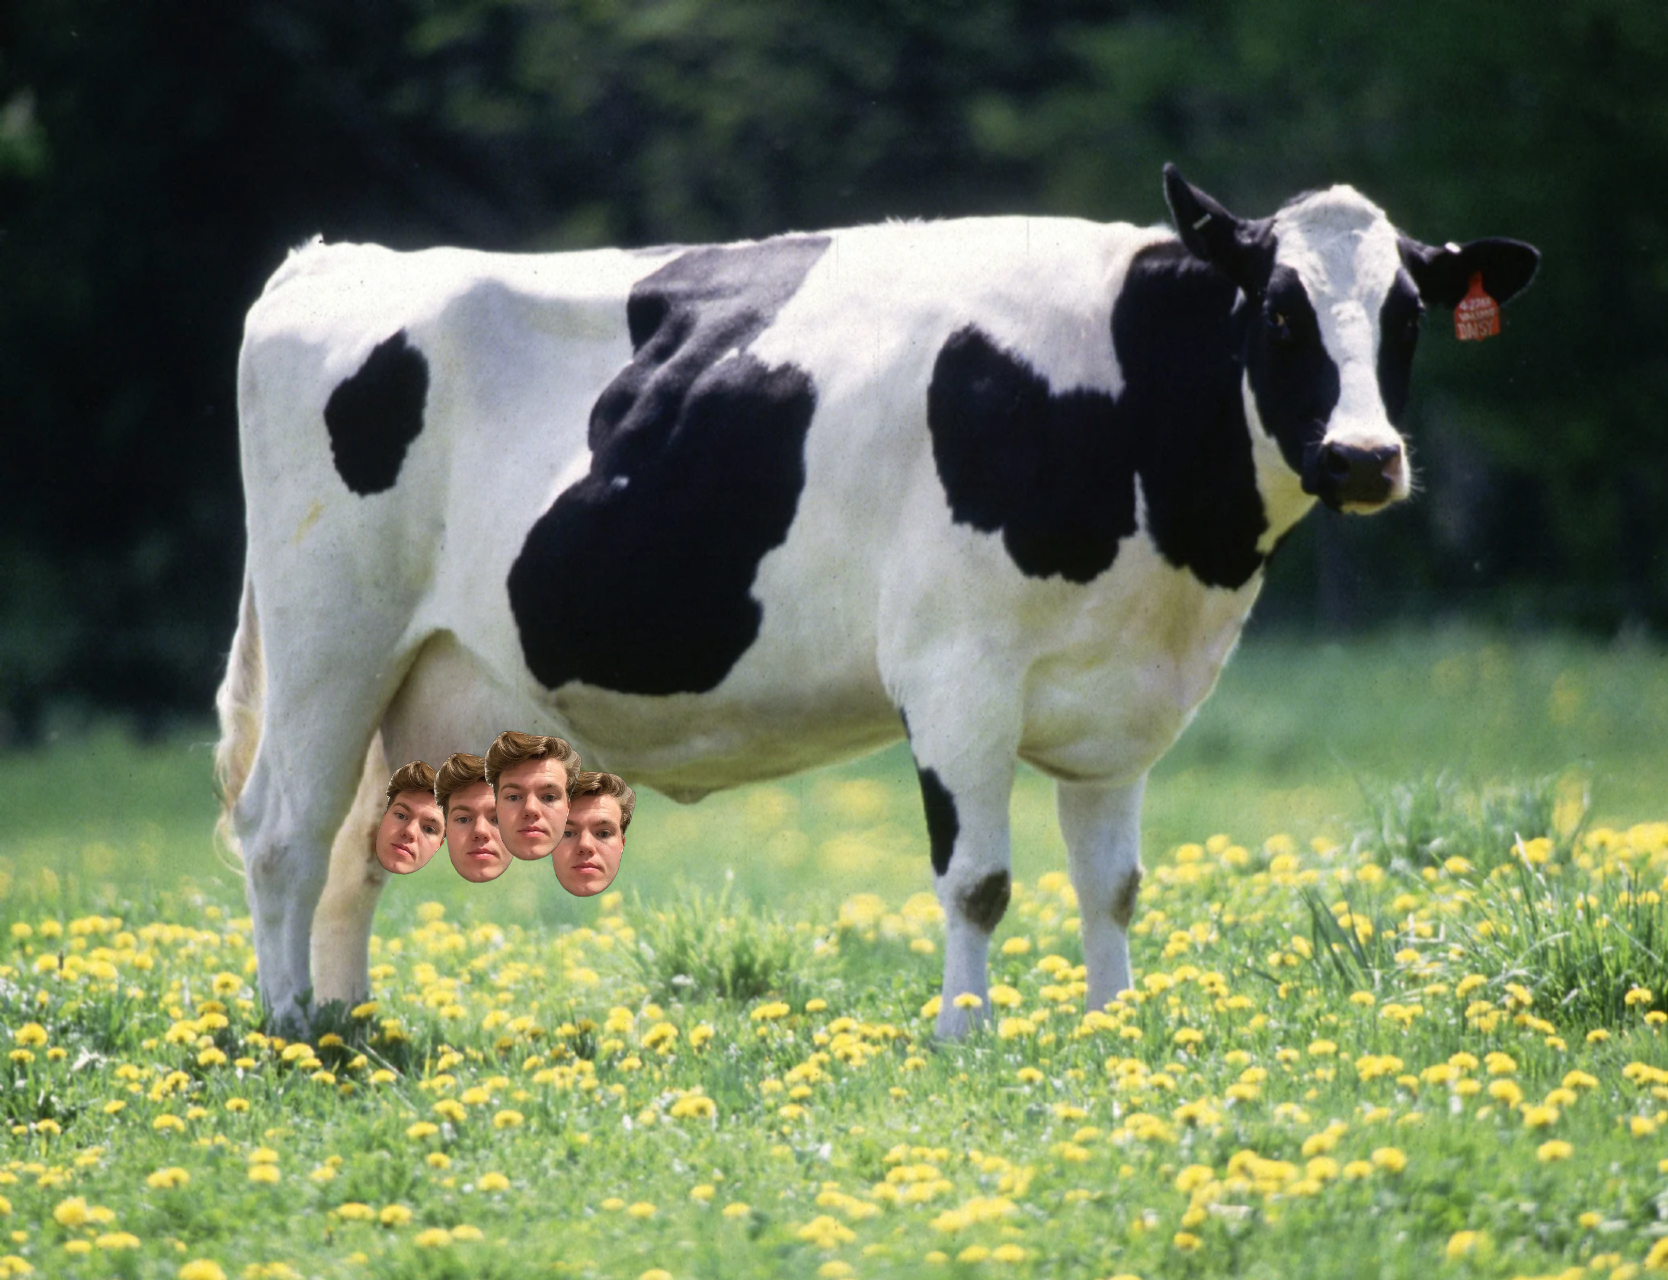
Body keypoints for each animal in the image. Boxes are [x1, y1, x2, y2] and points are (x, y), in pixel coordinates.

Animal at [215, 165, 1539, 1037]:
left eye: (1408, 315)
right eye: (1278, 308)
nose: (1365, 456)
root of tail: (333, 258)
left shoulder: (1122, 701)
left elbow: (1111, 882)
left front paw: (1115, 1026)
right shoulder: (957, 673)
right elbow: (980, 878)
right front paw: (965, 1035)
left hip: (411, 675)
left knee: (359, 843)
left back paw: (352, 1024)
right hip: (330, 636)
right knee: (283, 830)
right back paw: (291, 1029)